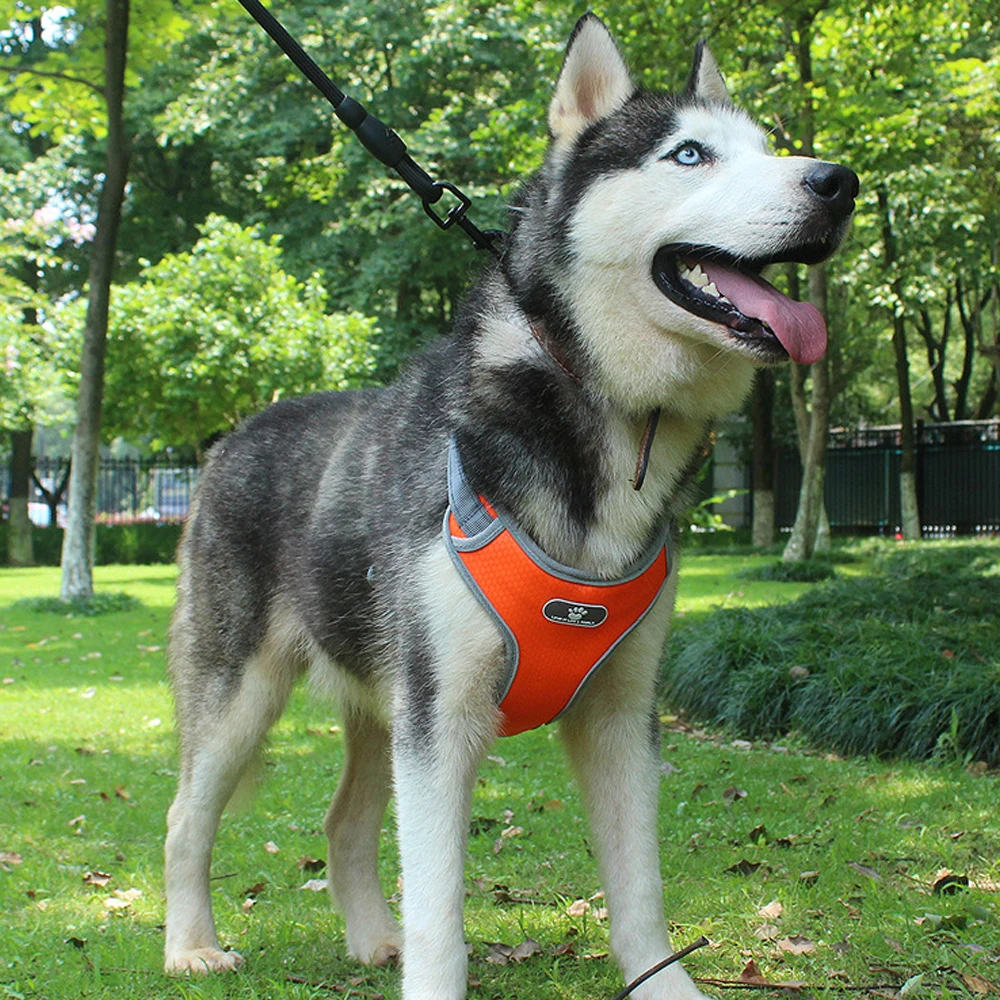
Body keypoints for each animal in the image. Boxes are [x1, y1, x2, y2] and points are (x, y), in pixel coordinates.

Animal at [166, 15, 860, 1000]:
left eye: (769, 149)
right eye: (690, 154)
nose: (837, 183)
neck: (601, 412)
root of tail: (234, 434)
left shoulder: (621, 714)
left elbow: (640, 892)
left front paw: (662, 982)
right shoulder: (441, 717)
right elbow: (441, 912)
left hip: (380, 699)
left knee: (344, 822)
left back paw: (369, 936)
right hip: (242, 693)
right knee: (186, 817)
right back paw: (190, 944)